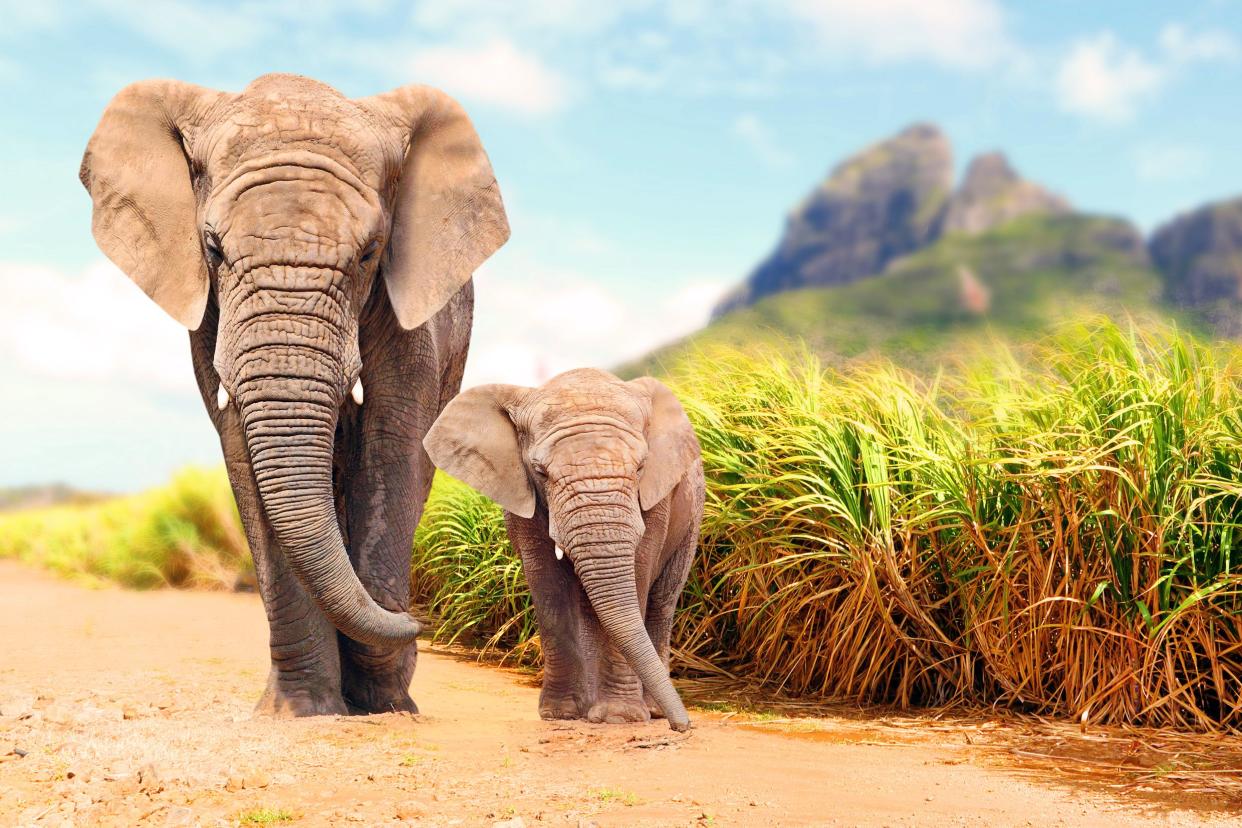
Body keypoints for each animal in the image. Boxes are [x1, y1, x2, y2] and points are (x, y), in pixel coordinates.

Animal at [80, 74, 506, 715]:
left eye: (371, 251)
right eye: (212, 248)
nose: (421, 624)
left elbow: (393, 439)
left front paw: (384, 702)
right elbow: (241, 447)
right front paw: (301, 712)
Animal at [424, 369, 700, 729]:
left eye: (640, 467)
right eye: (541, 471)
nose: (683, 726)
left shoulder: (656, 500)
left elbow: (638, 576)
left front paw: (619, 718)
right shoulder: (521, 494)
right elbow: (548, 586)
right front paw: (561, 714)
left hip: (692, 517)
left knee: (662, 601)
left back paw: (649, 710)